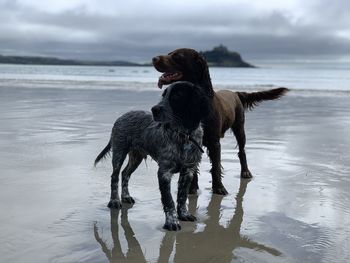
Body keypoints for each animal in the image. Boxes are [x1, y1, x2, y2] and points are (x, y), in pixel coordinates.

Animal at [94, 82, 209, 231]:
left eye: (177, 96)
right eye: (163, 95)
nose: (154, 109)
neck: (183, 136)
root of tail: (122, 116)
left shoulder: (188, 170)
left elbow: (182, 196)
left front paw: (184, 214)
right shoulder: (164, 172)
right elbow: (169, 200)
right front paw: (171, 222)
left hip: (136, 156)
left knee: (125, 173)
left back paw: (126, 197)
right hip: (119, 151)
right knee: (115, 176)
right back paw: (114, 201)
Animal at [152, 48, 288, 195]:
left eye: (177, 56)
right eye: (169, 53)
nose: (154, 59)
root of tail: (235, 93)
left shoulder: (214, 142)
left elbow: (216, 167)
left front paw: (219, 188)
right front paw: (192, 189)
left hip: (240, 128)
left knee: (242, 151)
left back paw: (245, 172)